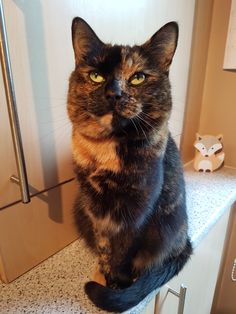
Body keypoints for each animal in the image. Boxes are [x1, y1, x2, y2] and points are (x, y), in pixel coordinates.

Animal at [67, 18, 193, 312]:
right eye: (97, 76)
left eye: (138, 77)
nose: (114, 93)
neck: (107, 149)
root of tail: (186, 242)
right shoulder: (95, 209)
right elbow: (105, 247)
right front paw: (105, 275)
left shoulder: (137, 210)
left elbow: (123, 251)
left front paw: (118, 284)